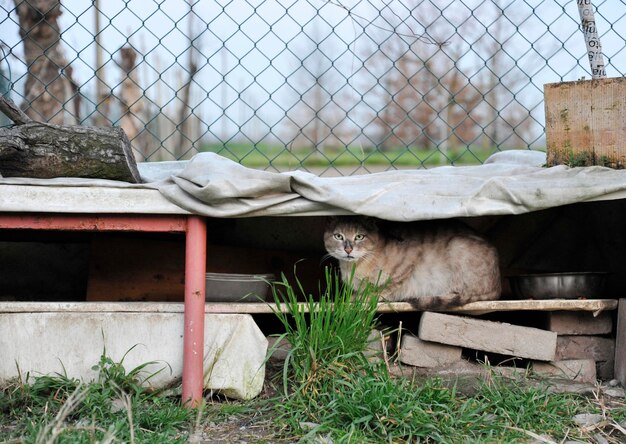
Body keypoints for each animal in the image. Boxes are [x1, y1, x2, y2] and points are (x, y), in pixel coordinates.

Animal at [324, 216, 500, 308]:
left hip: (457, 244)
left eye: (359, 236)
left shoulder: (409, 264)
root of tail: (498, 286)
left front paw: (364, 297)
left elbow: (384, 288)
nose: (348, 249)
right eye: (338, 236)